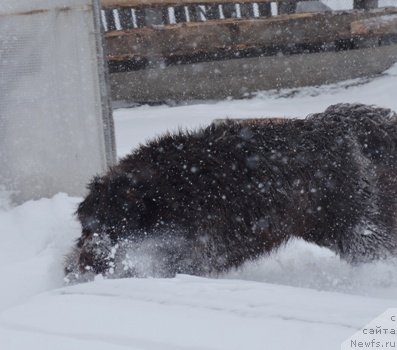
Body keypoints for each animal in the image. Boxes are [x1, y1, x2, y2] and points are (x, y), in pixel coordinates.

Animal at [64, 103, 396, 282]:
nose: (73, 268)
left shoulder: (188, 248)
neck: (159, 194)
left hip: (352, 226)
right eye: (85, 227)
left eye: (113, 224)